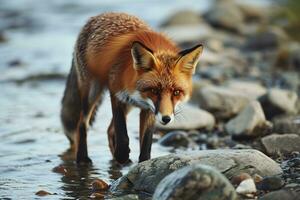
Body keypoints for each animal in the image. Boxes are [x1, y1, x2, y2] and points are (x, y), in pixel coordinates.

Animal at [60, 12, 203, 164]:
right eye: (154, 90)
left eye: (176, 92)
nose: (166, 119)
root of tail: (101, 15)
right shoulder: (116, 93)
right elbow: (122, 135)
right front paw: (122, 155)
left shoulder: (149, 109)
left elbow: (146, 142)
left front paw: (143, 162)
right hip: (92, 92)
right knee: (82, 124)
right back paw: (83, 159)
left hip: (127, 105)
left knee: (109, 130)